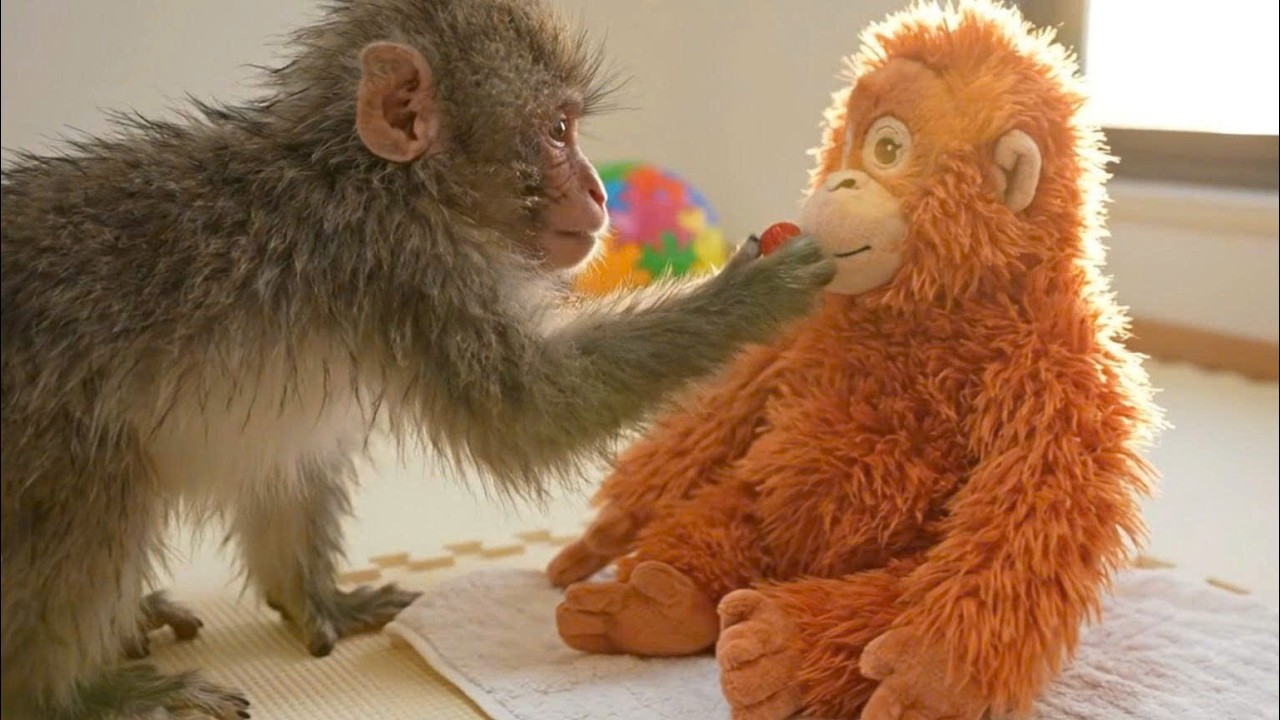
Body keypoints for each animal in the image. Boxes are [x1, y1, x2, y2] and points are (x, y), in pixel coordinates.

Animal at [0, 1, 837, 717]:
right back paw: (74, 695)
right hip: (38, 431)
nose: (600, 193)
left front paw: (314, 599)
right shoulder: (413, 266)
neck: (385, 179)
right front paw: (756, 294)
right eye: (556, 130)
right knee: (98, 492)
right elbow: (527, 415)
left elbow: (288, 460)